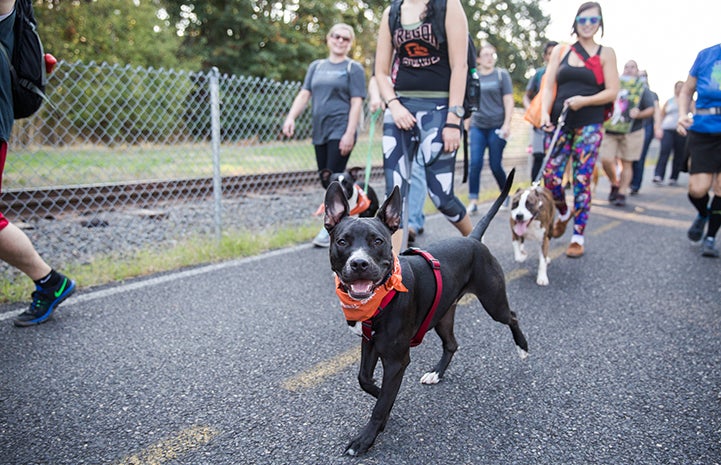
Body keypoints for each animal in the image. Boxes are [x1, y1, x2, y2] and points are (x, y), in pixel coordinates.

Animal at [324, 166, 524, 454]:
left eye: (377, 241)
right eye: (342, 241)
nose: (359, 263)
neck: (382, 298)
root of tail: (473, 239)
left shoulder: (396, 361)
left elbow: (380, 404)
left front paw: (366, 437)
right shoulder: (369, 343)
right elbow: (364, 379)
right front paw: (384, 402)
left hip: (493, 301)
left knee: (512, 316)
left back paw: (522, 348)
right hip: (443, 315)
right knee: (451, 344)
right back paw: (436, 374)